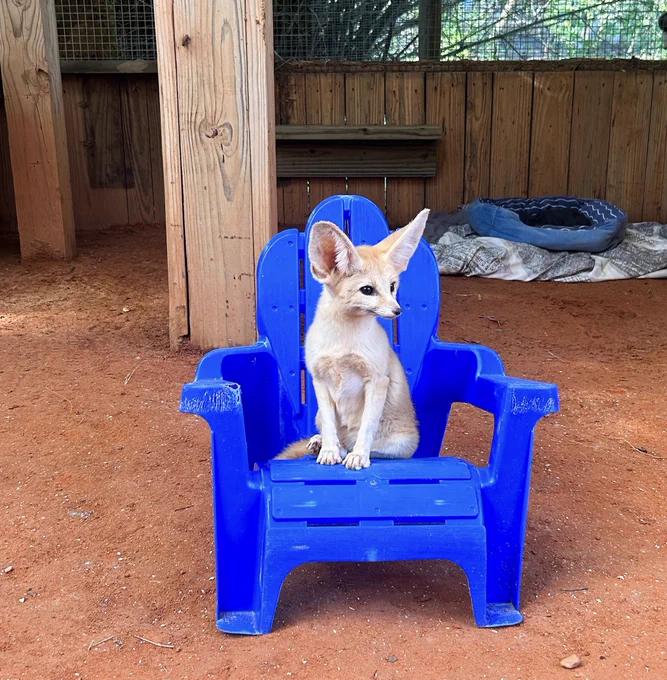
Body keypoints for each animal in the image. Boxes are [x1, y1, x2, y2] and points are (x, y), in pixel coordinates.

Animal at [275, 208, 430, 470]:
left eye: (392, 287)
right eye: (367, 290)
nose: (398, 311)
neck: (342, 343)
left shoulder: (377, 381)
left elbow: (366, 428)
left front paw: (358, 455)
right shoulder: (319, 379)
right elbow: (330, 426)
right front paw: (328, 450)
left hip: (400, 446)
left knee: (362, 445)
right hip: (318, 413)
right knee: (333, 434)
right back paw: (323, 444)